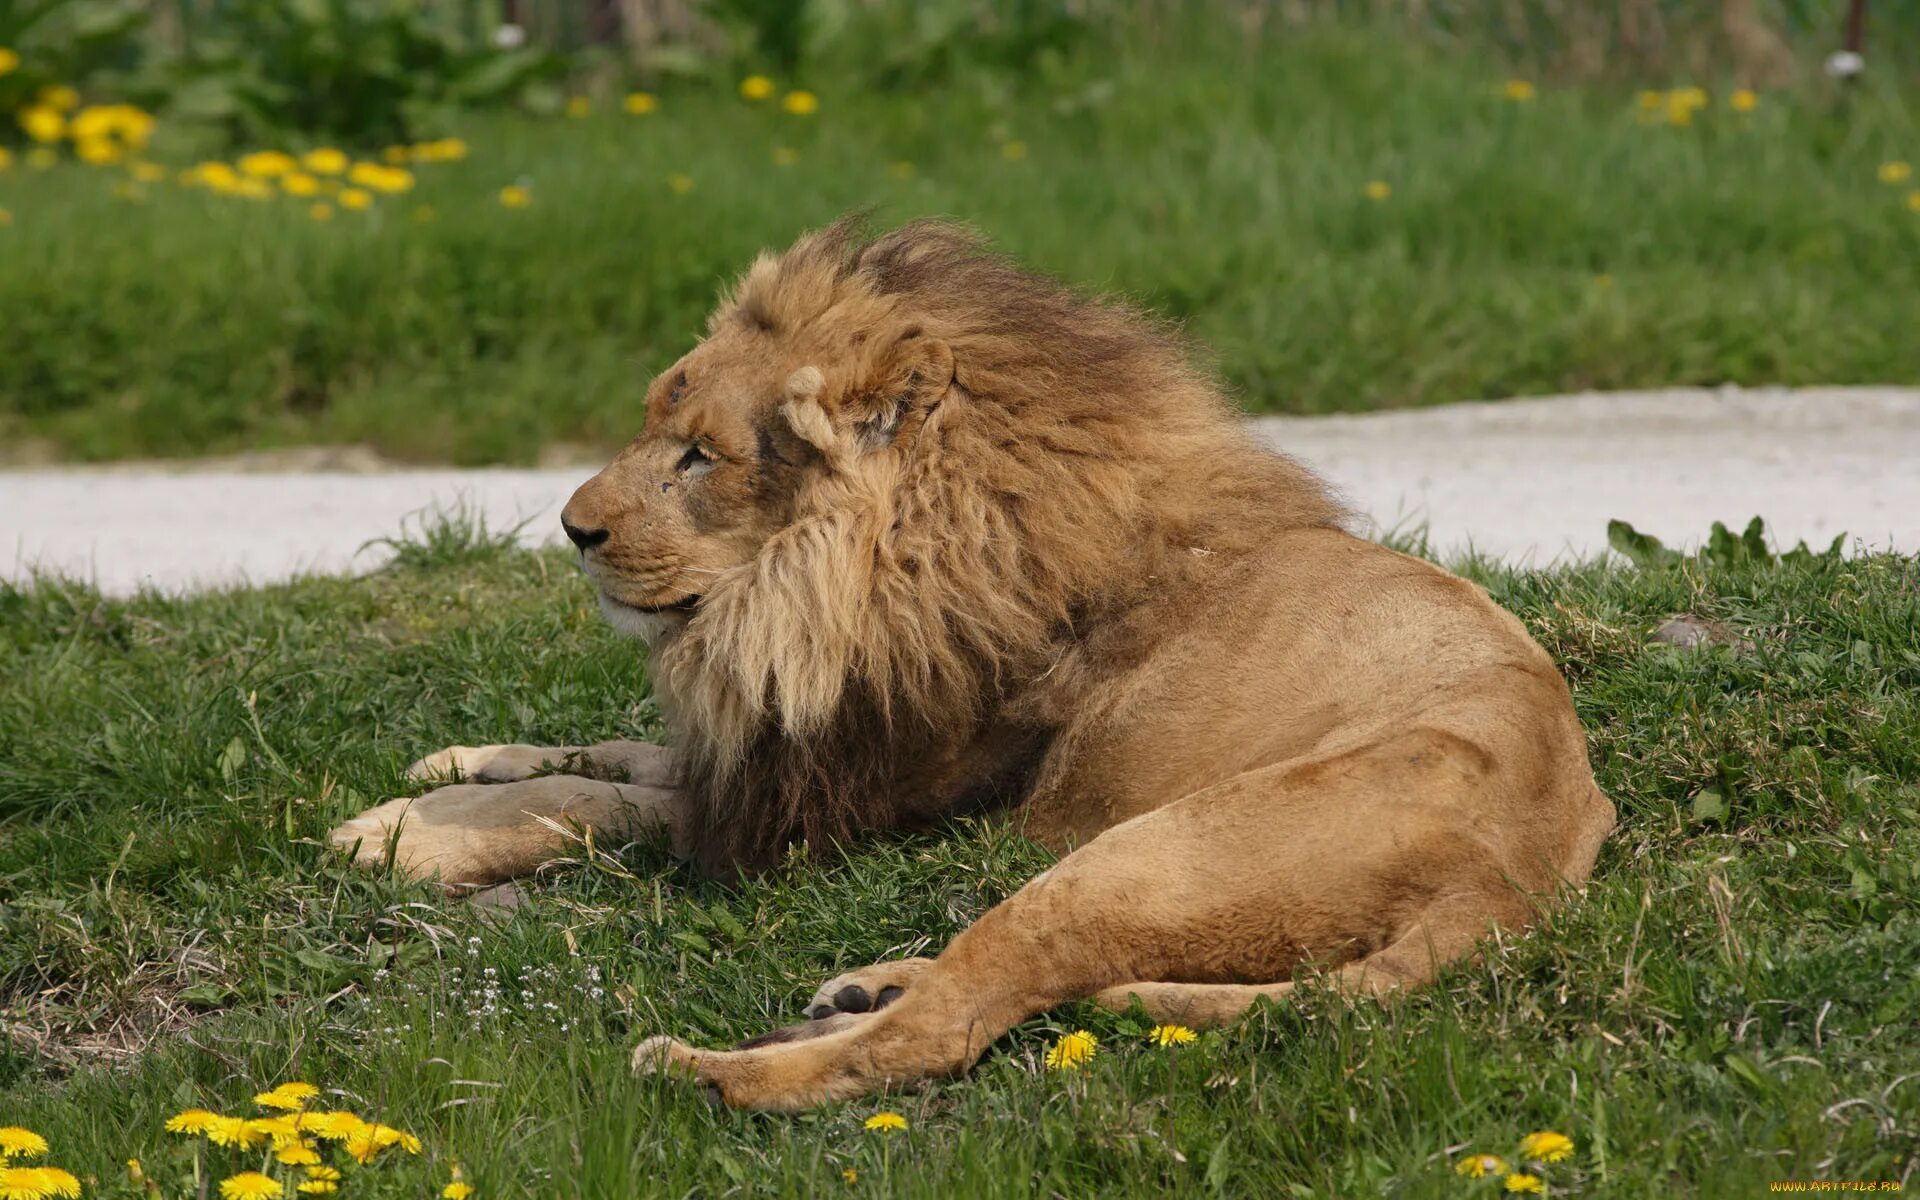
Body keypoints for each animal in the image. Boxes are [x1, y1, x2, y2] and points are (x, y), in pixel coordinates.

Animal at [334, 217, 1620, 1113]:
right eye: (658, 426)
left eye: (699, 455)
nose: (571, 528)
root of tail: (1530, 868)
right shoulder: (784, 748)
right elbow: (610, 751)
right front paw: (458, 763)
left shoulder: (830, 805)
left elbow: (606, 800)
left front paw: (401, 835)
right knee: (960, 982)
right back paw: (855, 989)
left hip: (1140, 856)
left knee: (944, 1030)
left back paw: (704, 1069)